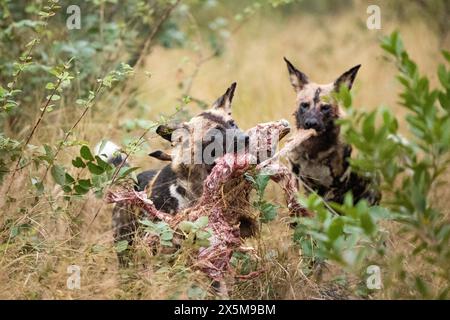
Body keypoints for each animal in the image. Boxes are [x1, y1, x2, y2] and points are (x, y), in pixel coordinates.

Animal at [284, 57, 380, 205]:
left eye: (325, 108)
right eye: (304, 105)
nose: (311, 123)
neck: (314, 152)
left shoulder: (335, 188)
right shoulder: (295, 178)